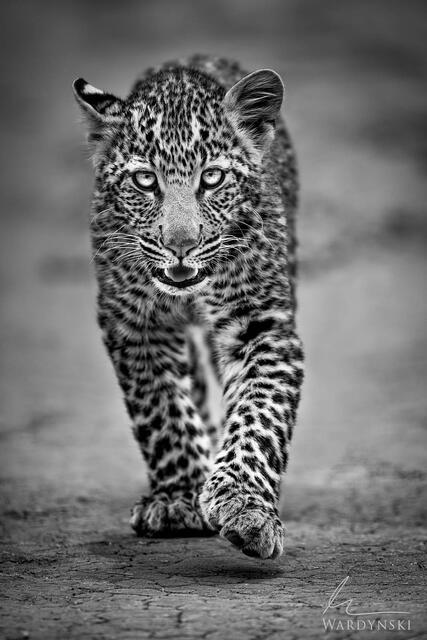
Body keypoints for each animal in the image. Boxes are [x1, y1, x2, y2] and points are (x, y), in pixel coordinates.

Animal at [73, 54, 304, 559]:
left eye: (212, 178)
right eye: (145, 180)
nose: (181, 245)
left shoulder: (263, 325)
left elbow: (259, 413)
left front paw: (245, 505)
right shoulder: (134, 324)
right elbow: (162, 408)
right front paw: (179, 499)